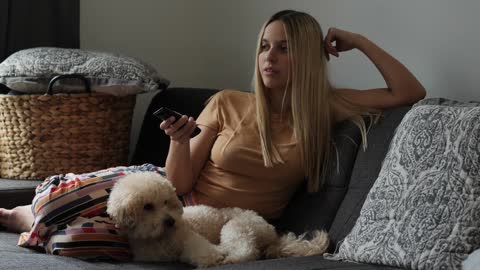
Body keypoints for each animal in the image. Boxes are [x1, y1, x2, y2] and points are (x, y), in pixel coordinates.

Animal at [107, 172, 328, 266]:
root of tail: (272, 233)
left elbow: (202, 251)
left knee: (247, 251)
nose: (171, 221)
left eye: (166, 202)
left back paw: (228, 256)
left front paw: (213, 257)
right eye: (147, 206)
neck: (160, 238)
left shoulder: (190, 239)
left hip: (236, 227)